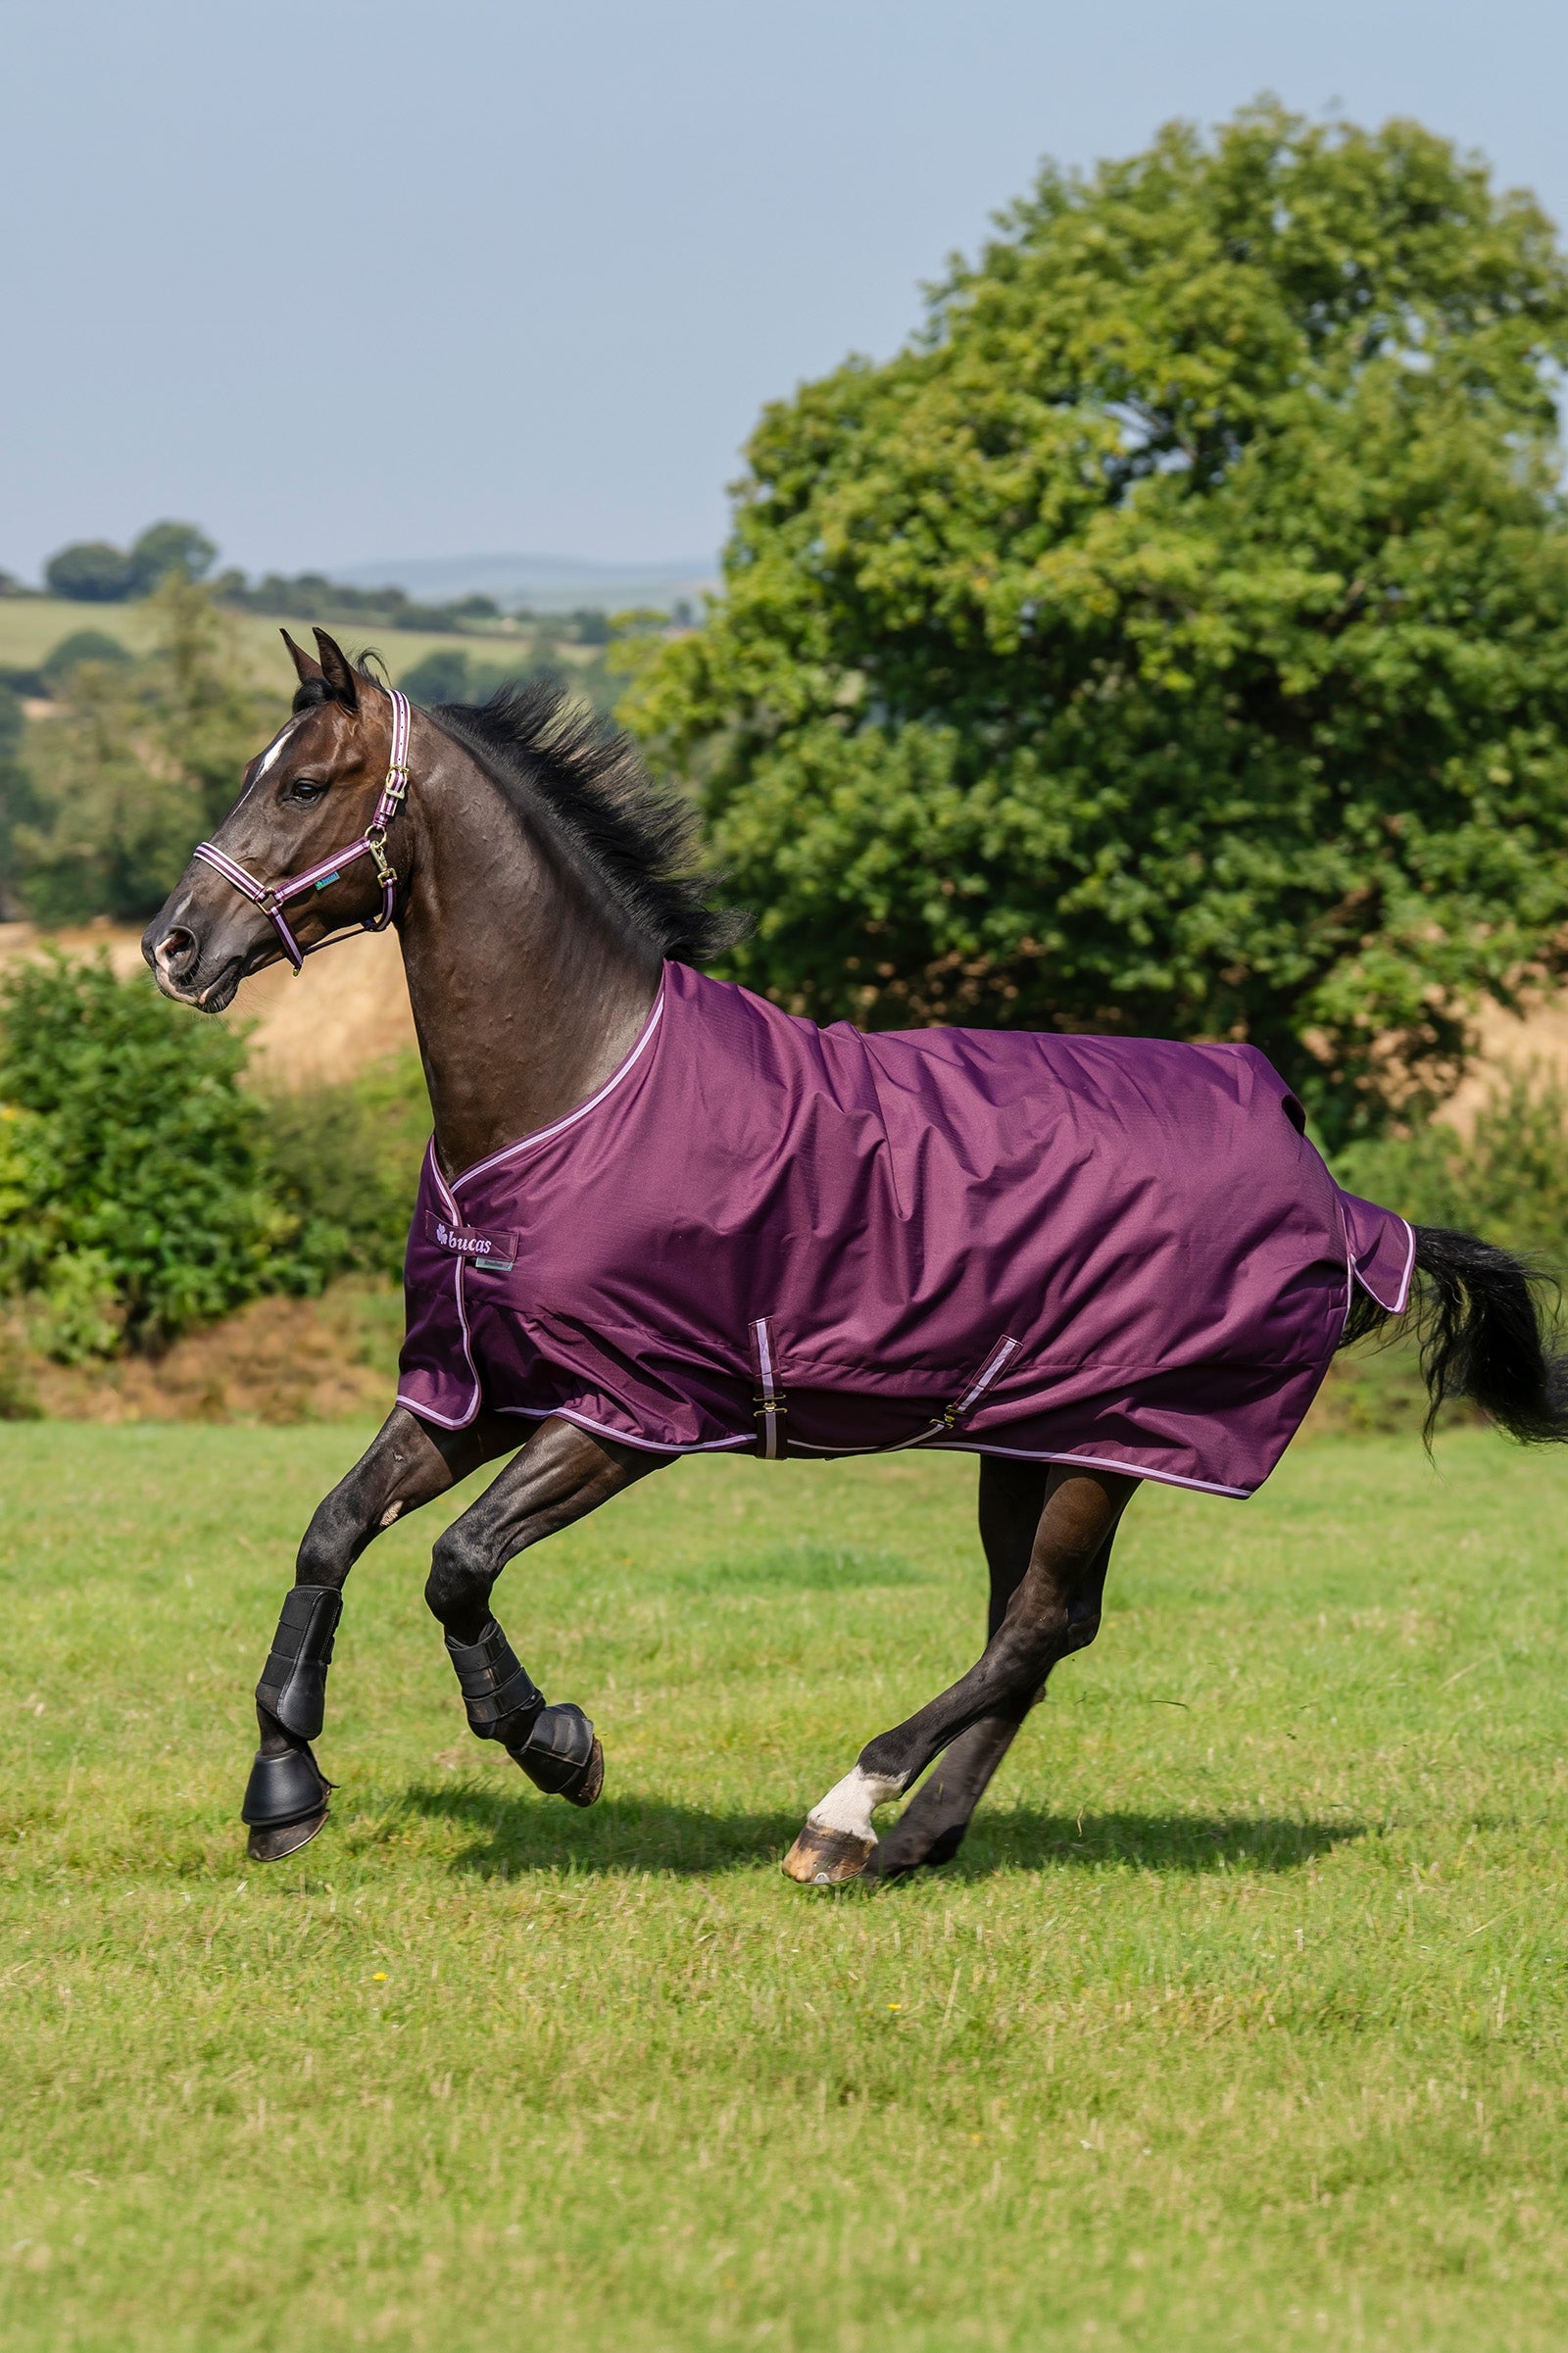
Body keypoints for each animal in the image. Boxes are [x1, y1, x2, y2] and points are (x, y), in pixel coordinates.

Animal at [144, 628, 1568, 1885]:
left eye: (304, 782)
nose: (174, 943)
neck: (575, 1086)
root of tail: (1339, 1201)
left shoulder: (630, 1413)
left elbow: (458, 1565)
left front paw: (556, 1746)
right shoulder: (476, 1390)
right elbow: (331, 1534)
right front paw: (283, 1794)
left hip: (1120, 1440)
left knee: (1033, 1627)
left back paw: (845, 1813)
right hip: (1029, 1436)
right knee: (1040, 1628)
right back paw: (913, 1839)